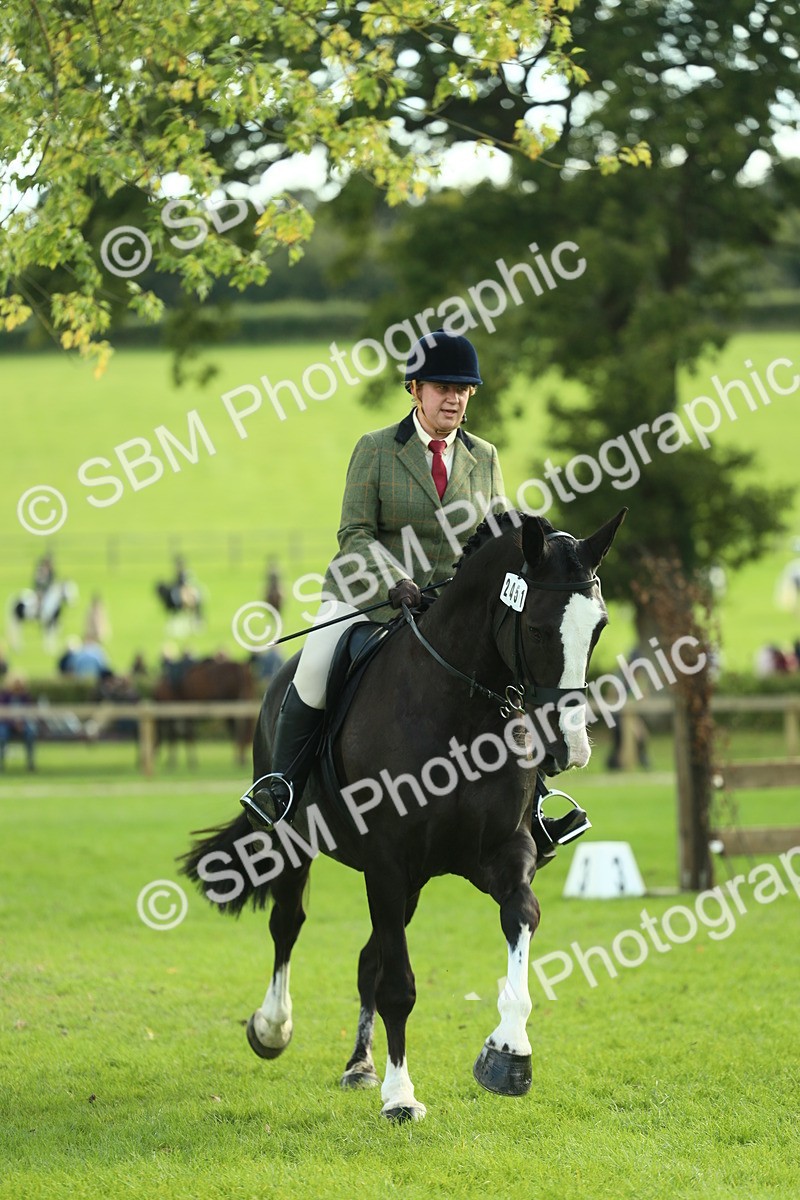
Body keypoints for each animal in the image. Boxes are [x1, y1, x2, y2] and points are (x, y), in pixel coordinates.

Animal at [182, 509, 626, 1122]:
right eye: (536, 629)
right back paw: (273, 1029)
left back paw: (360, 1064)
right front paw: (400, 1096)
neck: (461, 713)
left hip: (410, 883)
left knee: (367, 957)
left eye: (599, 628)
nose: (570, 748)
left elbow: (521, 919)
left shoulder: (502, 854)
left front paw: (508, 1055)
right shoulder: (388, 862)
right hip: (294, 844)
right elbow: (398, 985)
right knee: (288, 924)